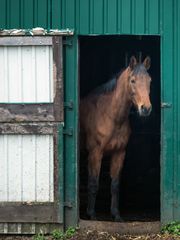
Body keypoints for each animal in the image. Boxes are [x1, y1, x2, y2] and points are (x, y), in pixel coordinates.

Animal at [80, 56, 152, 221]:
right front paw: (91, 214)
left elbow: (115, 185)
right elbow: (93, 183)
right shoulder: (96, 153)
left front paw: (116, 214)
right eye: (132, 80)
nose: (146, 108)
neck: (111, 116)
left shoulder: (119, 153)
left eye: (149, 80)